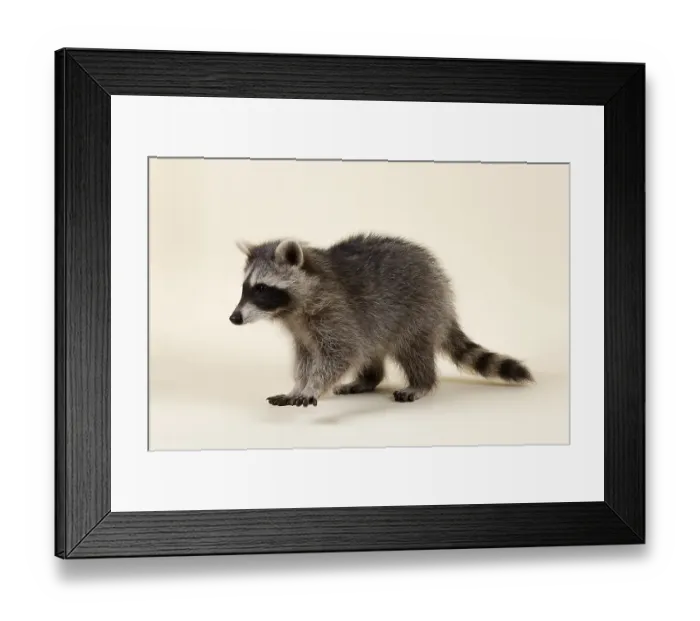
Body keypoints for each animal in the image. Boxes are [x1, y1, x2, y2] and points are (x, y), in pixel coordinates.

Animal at [230, 233, 533, 406]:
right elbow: (306, 359)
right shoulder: (302, 330)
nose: (234, 317)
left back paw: (421, 383)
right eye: (245, 287)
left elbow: (341, 353)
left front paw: (313, 386)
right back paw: (368, 379)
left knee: (413, 350)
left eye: (261, 288)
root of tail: (441, 284)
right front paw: (298, 384)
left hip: (419, 310)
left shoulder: (334, 312)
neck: (292, 310)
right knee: (370, 348)